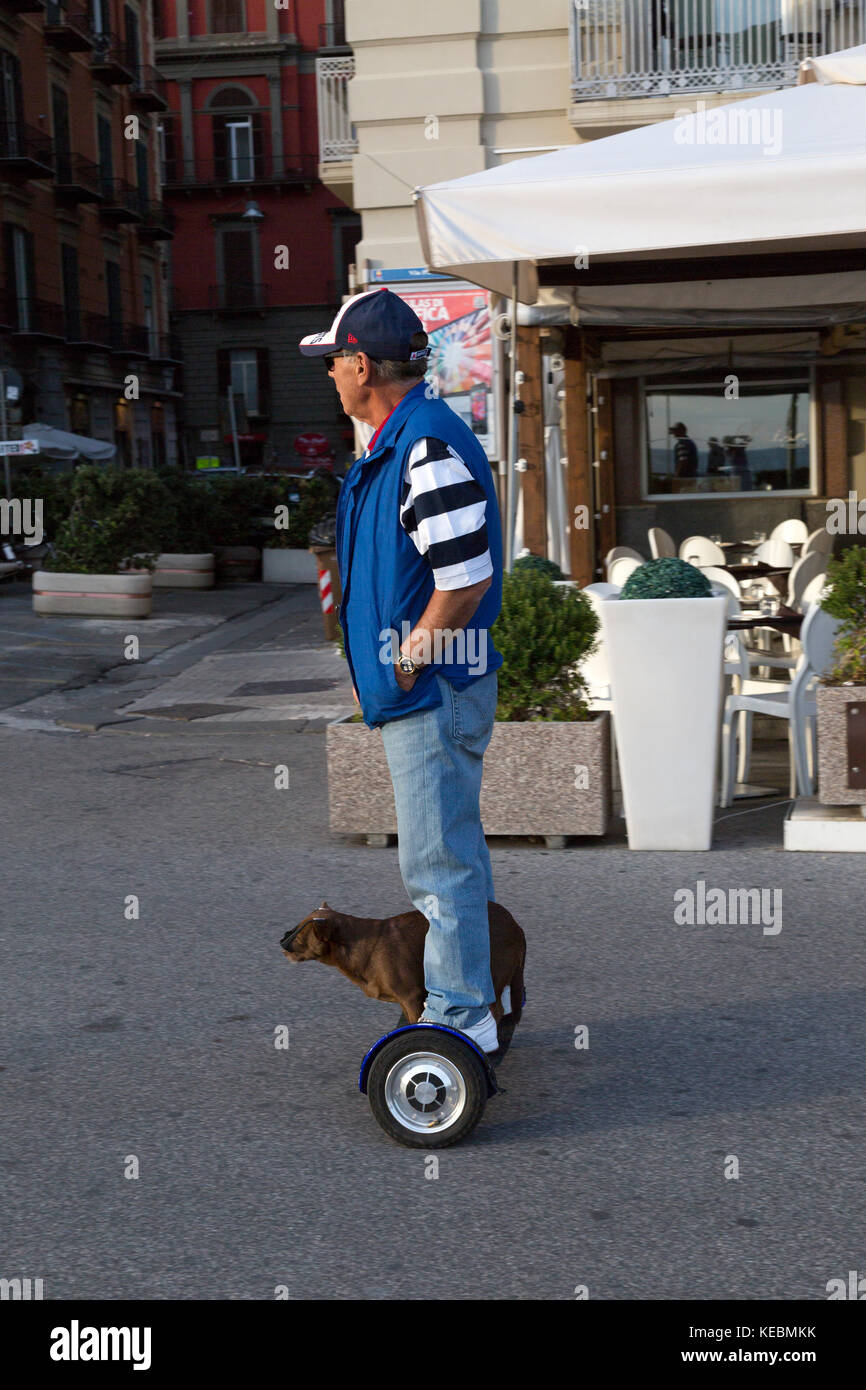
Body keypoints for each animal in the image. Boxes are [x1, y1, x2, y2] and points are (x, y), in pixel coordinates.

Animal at [284, 906, 525, 1045]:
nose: (281, 940)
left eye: (299, 935)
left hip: (491, 975)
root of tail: (517, 926)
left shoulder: (411, 997)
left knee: (496, 1009)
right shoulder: (404, 1000)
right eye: (295, 927)